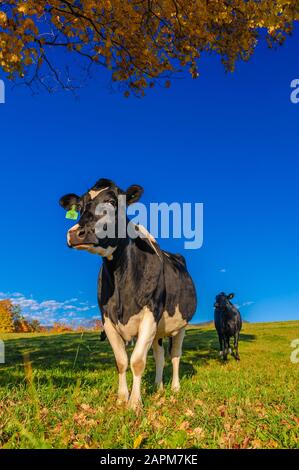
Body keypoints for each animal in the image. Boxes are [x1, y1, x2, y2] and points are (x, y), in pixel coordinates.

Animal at [59, 180, 198, 412]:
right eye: (79, 206)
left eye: (113, 202)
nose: (76, 233)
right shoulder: (107, 318)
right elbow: (122, 361)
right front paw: (122, 398)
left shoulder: (151, 314)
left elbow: (137, 361)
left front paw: (135, 403)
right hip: (158, 332)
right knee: (160, 356)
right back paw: (158, 387)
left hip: (180, 326)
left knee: (175, 355)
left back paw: (175, 388)